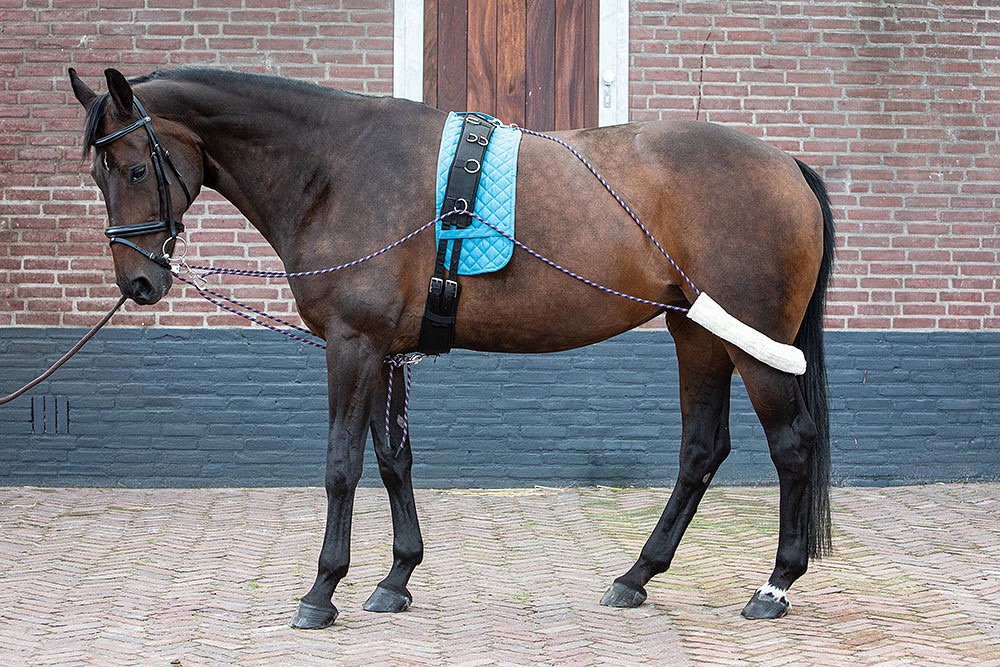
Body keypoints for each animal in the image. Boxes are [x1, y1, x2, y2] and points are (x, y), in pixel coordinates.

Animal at [68, 67, 835, 629]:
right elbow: (393, 461)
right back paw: (635, 575)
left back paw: (774, 586)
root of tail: (787, 165)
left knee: (792, 444)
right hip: (698, 335)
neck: (337, 166)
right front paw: (397, 576)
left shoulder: (352, 345)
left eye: (135, 169)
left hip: (753, 345)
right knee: (702, 450)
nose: (138, 282)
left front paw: (322, 590)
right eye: (98, 174)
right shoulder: (385, 351)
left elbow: (342, 465)